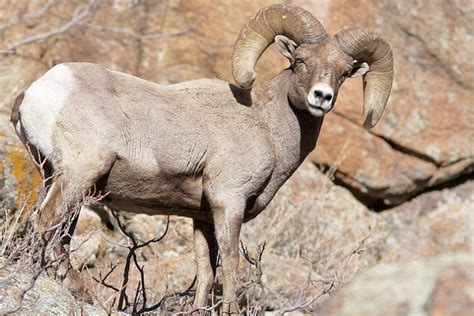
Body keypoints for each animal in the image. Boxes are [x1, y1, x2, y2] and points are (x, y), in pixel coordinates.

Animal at [12, 4, 394, 314]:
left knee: (59, 234)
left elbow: (206, 272)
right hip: (79, 175)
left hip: (62, 181)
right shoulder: (229, 201)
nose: (322, 97)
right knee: (47, 223)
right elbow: (231, 263)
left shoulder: (202, 216)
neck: (265, 125)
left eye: (343, 73)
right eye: (300, 61)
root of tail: (36, 92)